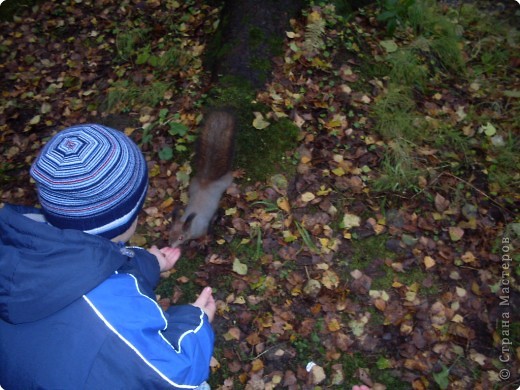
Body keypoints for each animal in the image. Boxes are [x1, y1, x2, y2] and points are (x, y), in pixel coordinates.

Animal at [170, 109, 237, 247]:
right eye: (169, 233)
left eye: (180, 237)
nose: (170, 245)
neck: (191, 224)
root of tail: (206, 181)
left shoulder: (202, 228)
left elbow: (204, 235)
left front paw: (202, 242)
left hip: (225, 182)